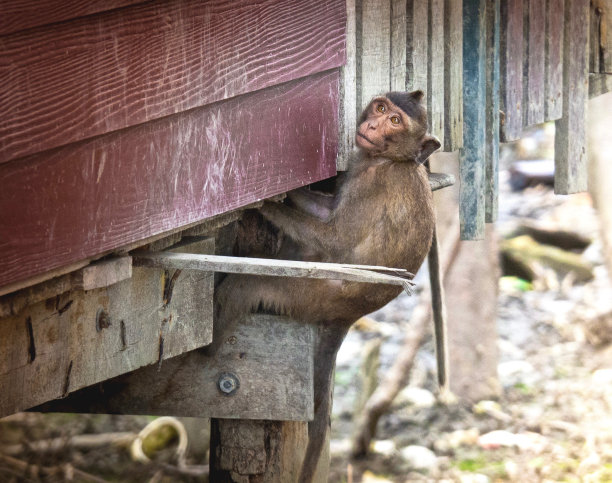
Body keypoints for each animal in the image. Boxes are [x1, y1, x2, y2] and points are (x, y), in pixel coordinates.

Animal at [215, 91, 440, 483]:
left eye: (396, 121)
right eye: (381, 108)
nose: (373, 125)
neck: (390, 159)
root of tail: (349, 315)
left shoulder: (372, 185)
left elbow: (334, 239)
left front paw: (264, 207)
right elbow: (323, 211)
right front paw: (286, 193)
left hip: (309, 294)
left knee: (247, 284)